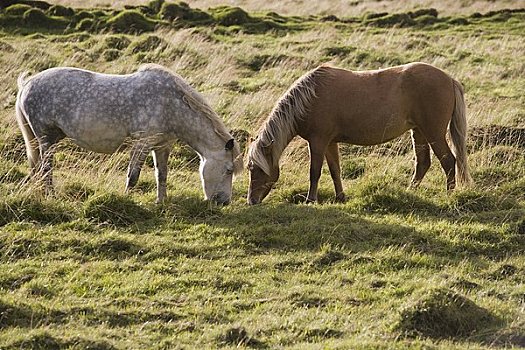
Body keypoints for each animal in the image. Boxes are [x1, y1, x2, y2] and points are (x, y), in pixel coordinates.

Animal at [15, 64, 243, 204]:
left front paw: (161, 201)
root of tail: (27, 84)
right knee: (45, 169)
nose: (223, 202)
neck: (170, 104)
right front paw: (127, 199)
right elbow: (133, 176)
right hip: (46, 138)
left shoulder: (162, 146)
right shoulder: (142, 143)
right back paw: (51, 196)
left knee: (38, 168)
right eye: (229, 170)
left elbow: (162, 174)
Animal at [248, 63, 472, 205]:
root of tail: (450, 79)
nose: (251, 201)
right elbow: (335, 170)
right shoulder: (330, 143)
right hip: (419, 132)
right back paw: (410, 191)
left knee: (448, 161)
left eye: (256, 168)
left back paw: (449, 195)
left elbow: (315, 172)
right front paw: (340, 197)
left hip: (433, 132)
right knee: (424, 163)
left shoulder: (318, 142)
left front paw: (311, 200)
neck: (309, 98)